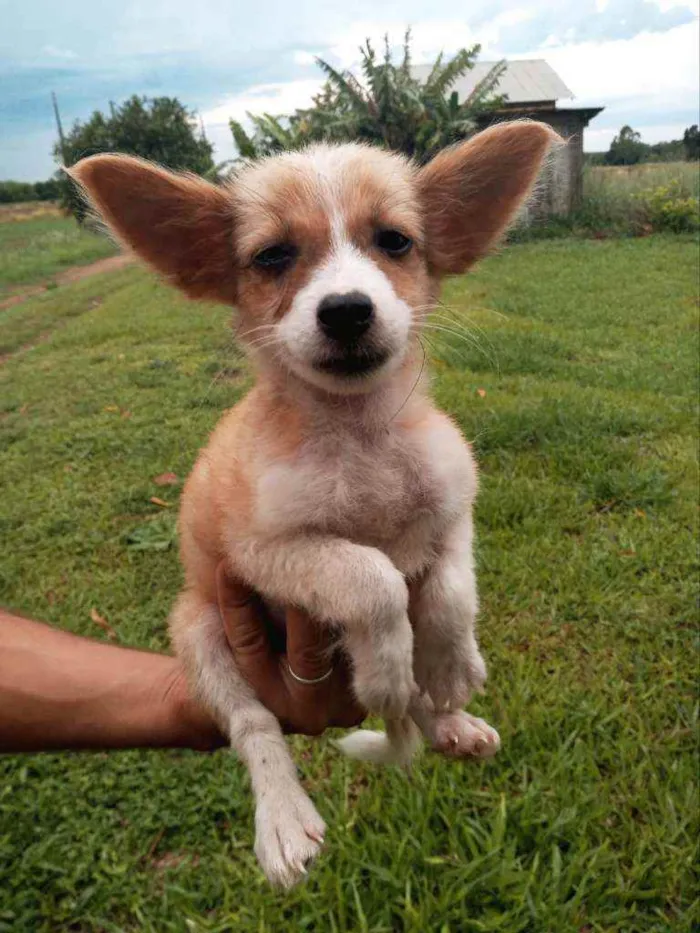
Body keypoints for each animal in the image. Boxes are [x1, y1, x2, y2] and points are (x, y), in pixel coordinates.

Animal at [69, 120, 556, 884]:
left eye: (395, 241)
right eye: (272, 256)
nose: (348, 310)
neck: (359, 437)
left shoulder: (454, 507)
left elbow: (450, 589)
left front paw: (451, 668)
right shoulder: (264, 551)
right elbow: (373, 577)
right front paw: (385, 664)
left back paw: (446, 722)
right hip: (199, 627)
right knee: (254, 725)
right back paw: (285, 815)